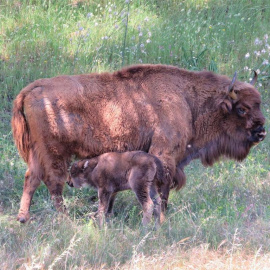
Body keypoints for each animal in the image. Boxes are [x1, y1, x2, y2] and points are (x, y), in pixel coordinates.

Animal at [11, 64, 266, 223]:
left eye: (259, 104)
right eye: (242, 109)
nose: (262, 132)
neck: (187, 98)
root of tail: (30, 89)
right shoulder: (165, 155)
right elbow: (162, 191)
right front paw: (161, 218)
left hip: (38, 154)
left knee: (32, 179)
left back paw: (23, 218)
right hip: (54, 153)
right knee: (54, 183)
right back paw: (64, 218)